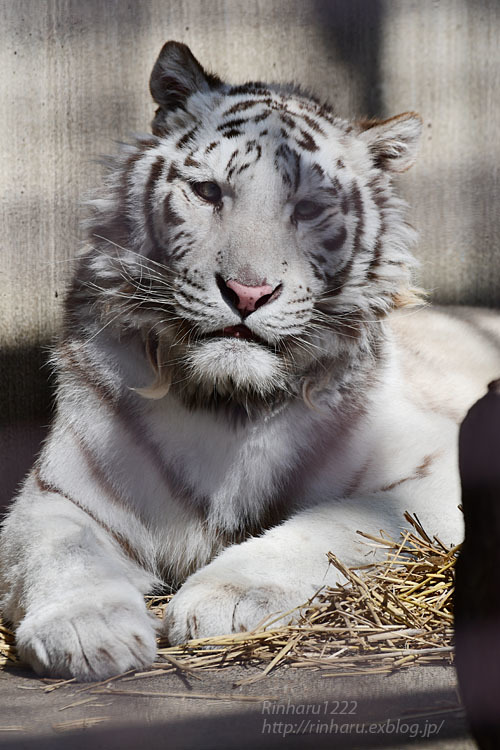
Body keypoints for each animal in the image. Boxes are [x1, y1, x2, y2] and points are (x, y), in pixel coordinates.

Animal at [0, 41, 500, 684]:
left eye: (309, 208)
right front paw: (87, 631)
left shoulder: (431, 471)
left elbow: (333, 524)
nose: (247, 292)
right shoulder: (60, 494)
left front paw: (225, 596)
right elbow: (63, 551)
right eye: (209, 192)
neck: (228, 403)